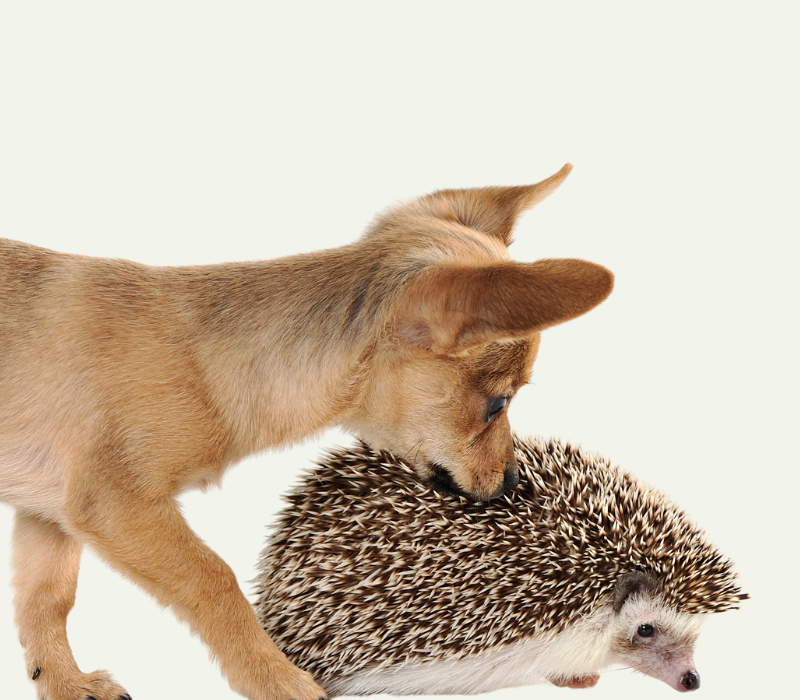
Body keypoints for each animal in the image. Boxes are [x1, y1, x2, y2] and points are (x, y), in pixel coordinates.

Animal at [0, 161, 612, 696]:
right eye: (498, 404)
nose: (514, 483)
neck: (209, 363)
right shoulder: (116, 506)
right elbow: (216, 581)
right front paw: (275, 679)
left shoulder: (48, 514)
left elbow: (46, 603)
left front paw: (61, 684)